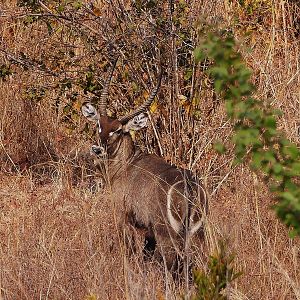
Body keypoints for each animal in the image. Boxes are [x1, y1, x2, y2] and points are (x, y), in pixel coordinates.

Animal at [82, 62, 209, 274]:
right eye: (99, 124)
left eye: (118, 130)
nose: (97, 149)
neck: (125, 165)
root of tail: (189, 188)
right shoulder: (148, 232)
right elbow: (145, 254)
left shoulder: (123, 217)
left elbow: (129, 251)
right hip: (198, 233)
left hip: (166, 232)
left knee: (170, 264)